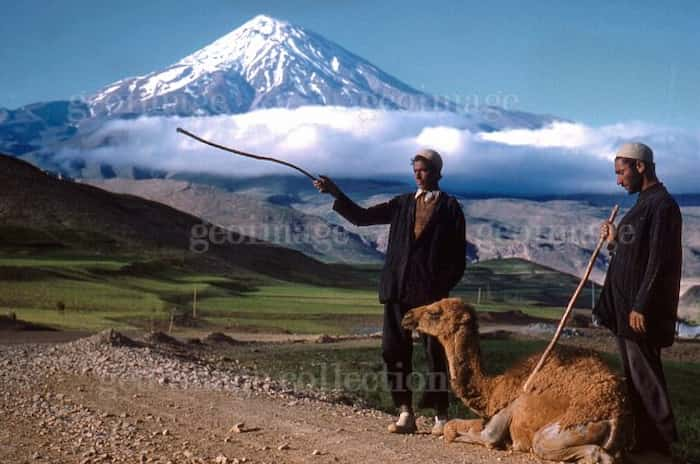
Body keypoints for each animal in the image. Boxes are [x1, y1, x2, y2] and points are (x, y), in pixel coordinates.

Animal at [402, 300, 632, 462]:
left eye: (434, 312)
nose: (407, 315)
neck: (493, 389)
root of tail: (617, 416)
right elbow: (453, 426)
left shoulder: (508, 409)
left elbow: (479, 436)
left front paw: (504, 445)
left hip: (572, 427)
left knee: (554, 446)